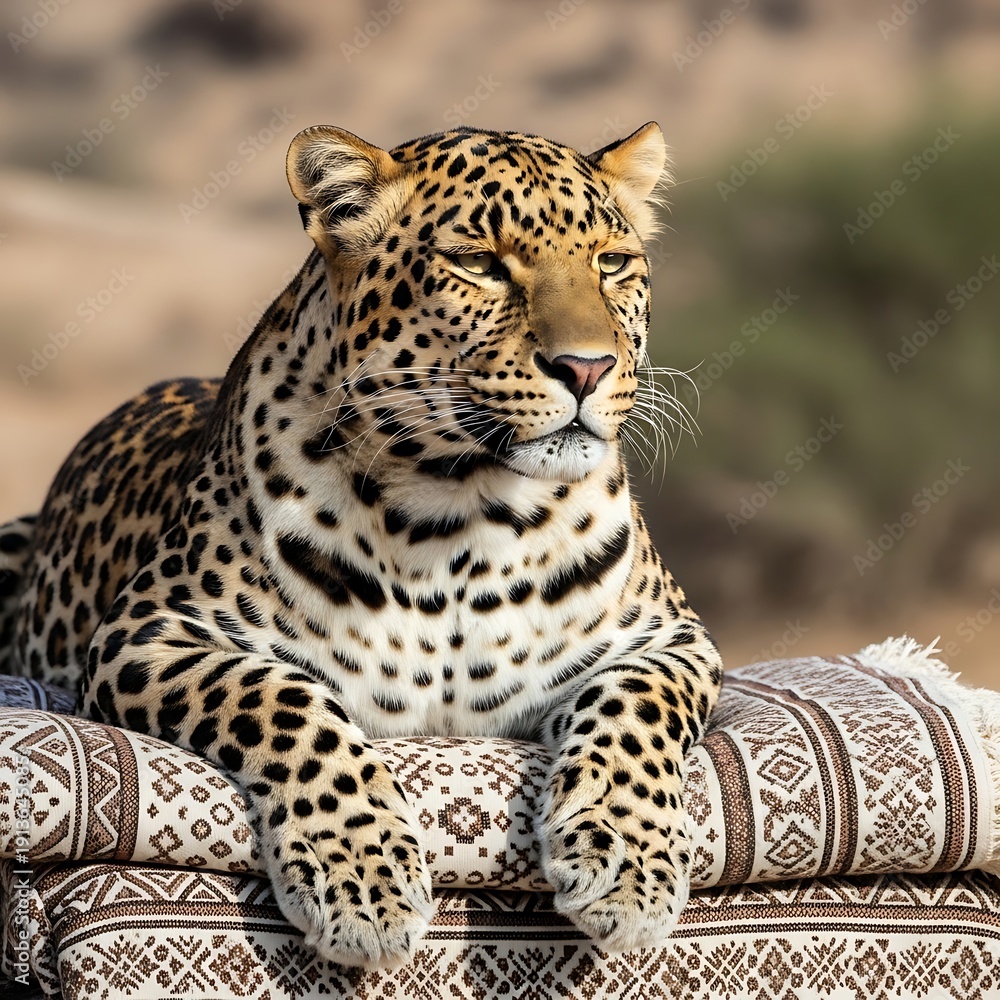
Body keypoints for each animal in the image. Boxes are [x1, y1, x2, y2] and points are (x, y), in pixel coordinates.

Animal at [1, 122, 723, 968]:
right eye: (479, 264)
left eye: (612, 263)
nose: (588, 367)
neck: (461, 515)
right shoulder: (148, 634)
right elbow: (286, 700)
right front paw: (363, 879)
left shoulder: (672, 642)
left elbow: (633, 716)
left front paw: (626, 864)